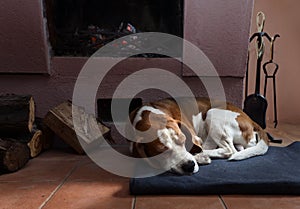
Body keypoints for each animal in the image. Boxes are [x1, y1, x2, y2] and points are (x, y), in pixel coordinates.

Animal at [127, 98, 270, 175]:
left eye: (184, 141)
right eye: (161, 152)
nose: (190, 166)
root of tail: (251, 120)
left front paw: (198, 156)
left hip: (212, 114)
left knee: (229, 150)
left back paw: (202, 155)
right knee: (238, 148)